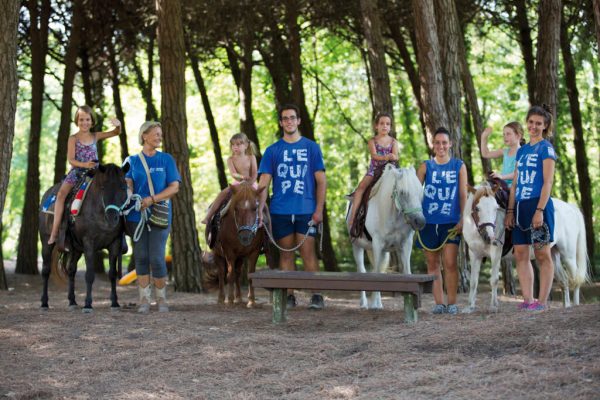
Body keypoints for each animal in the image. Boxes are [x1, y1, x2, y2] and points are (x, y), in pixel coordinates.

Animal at [39, 162, 131, 312]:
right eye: (103, 187)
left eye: (123, 186)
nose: (112, 218)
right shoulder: (89, 243)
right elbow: (90, 274)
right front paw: (88, 304)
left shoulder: (115, 243)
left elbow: (112, 273)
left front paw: (115, 303)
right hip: (46, 242)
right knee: (46, 270)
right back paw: (44, 303)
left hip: (76, 249)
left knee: (71, 271)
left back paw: (72, 302)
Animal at [346, 164, 426, 310]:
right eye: (403, 192)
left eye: (420, 193)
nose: (420, 221)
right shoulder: (377, 244)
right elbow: (376, 273)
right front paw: (374, 304)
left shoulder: (406, 244)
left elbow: (406, 271)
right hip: (357, 246)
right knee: (362, 270)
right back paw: (364, 303)